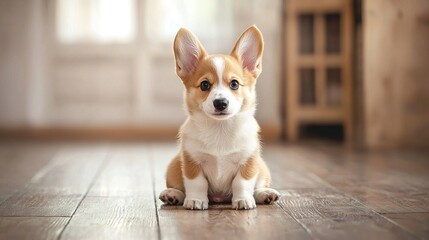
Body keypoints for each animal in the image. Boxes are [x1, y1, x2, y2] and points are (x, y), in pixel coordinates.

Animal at [159, 26, 280, 210]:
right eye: (204, 85)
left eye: (234, 84)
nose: (221, 103)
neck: (220, 128)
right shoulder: (192, 159)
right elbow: (197, 183)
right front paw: (196, 200)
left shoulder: (248, 159)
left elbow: (242, 182)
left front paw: (243, 200)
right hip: (174, 165)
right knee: (178, 186)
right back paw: (172, 195)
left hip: (262, 166)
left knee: (259, 185)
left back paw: (265, 194)